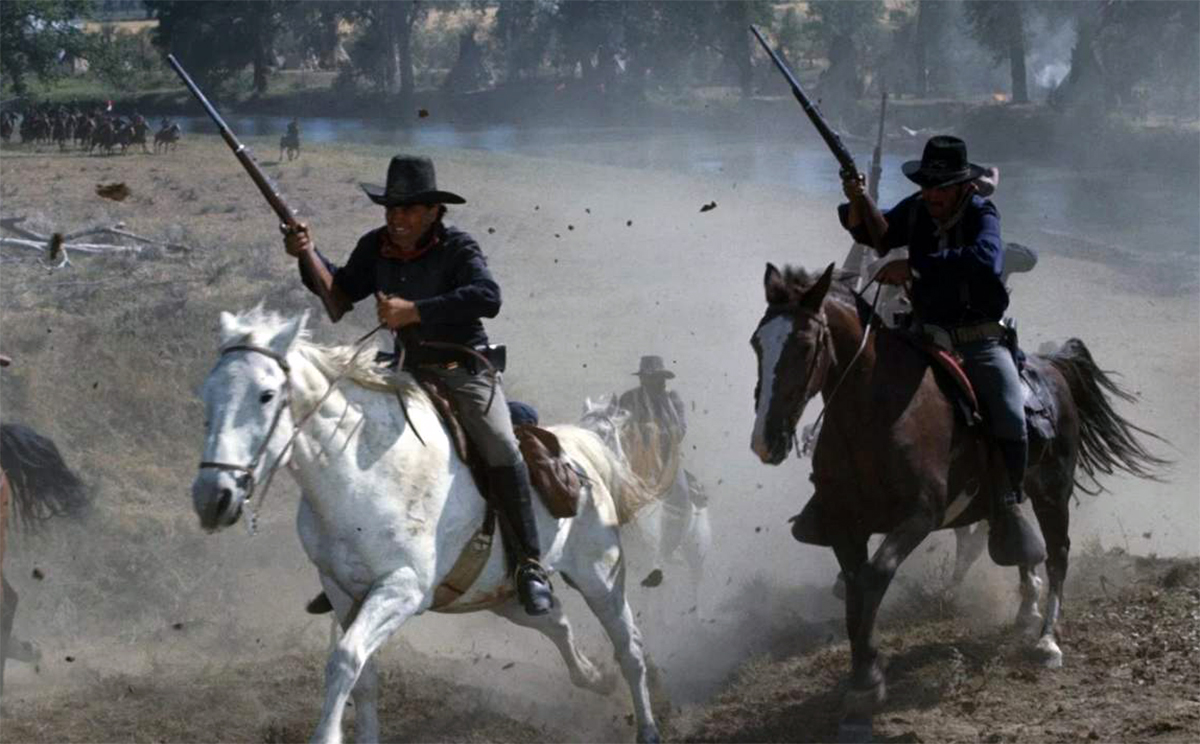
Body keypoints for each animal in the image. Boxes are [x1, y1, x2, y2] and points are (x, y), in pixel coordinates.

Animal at [191, 307, 662, 743]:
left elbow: (345, 659)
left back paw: (647, 726)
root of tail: (579, 451)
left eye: (267, 394)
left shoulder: (401, 587)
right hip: (499, 594)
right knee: (556, 621)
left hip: (599, 575)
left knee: (630, 647)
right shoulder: (340, 590)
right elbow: (363, 676)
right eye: (208, 395)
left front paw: (326, 735)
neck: (363, 473)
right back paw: (595, 677)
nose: (212, 498)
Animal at [750, 263, 1167, 735]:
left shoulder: (919, 516)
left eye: (804, 344)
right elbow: (857, 589)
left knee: (1058, 553)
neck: (876, 413)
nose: (766, 440)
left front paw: (867, 683)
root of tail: (1054, 368)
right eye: (756, 344)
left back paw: (1047, 639)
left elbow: (875, 577)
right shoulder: (843, 523)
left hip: (1053, 489)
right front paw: (863, 675)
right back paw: (1026, 608)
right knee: (1022, 543)